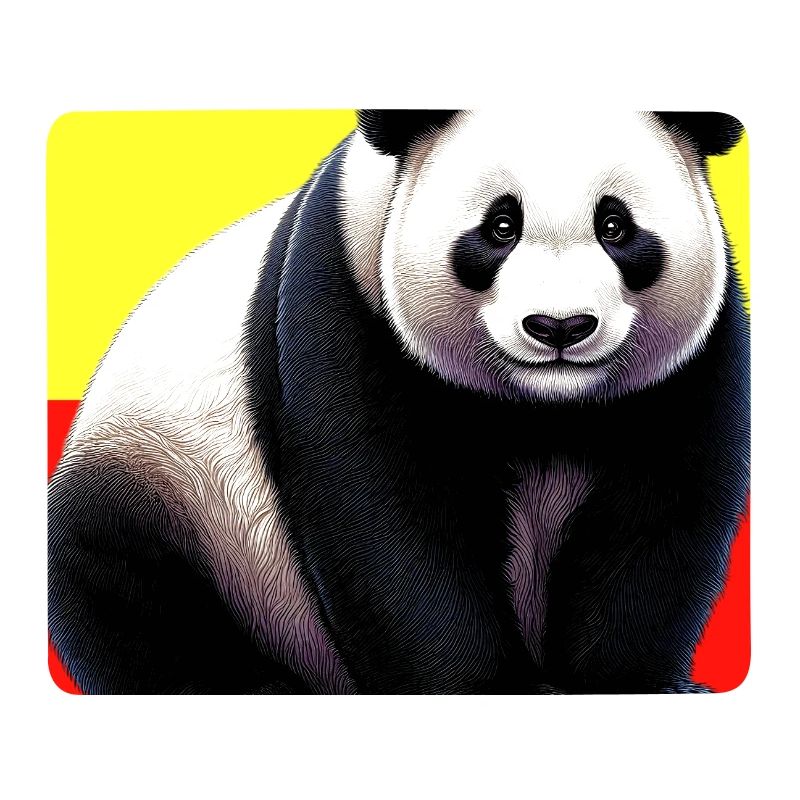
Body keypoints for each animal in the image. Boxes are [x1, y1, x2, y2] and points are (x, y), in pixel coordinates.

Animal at [48, 110, 750, 694]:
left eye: (615, 226)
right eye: (500, 226)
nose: (559, 327)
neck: (542, 408)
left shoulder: (692, 362)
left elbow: (660, 515)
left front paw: (629, 683)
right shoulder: (347, 303)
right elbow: (388, 517)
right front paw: (489, 689)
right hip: (164, 473)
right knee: (130, 592)